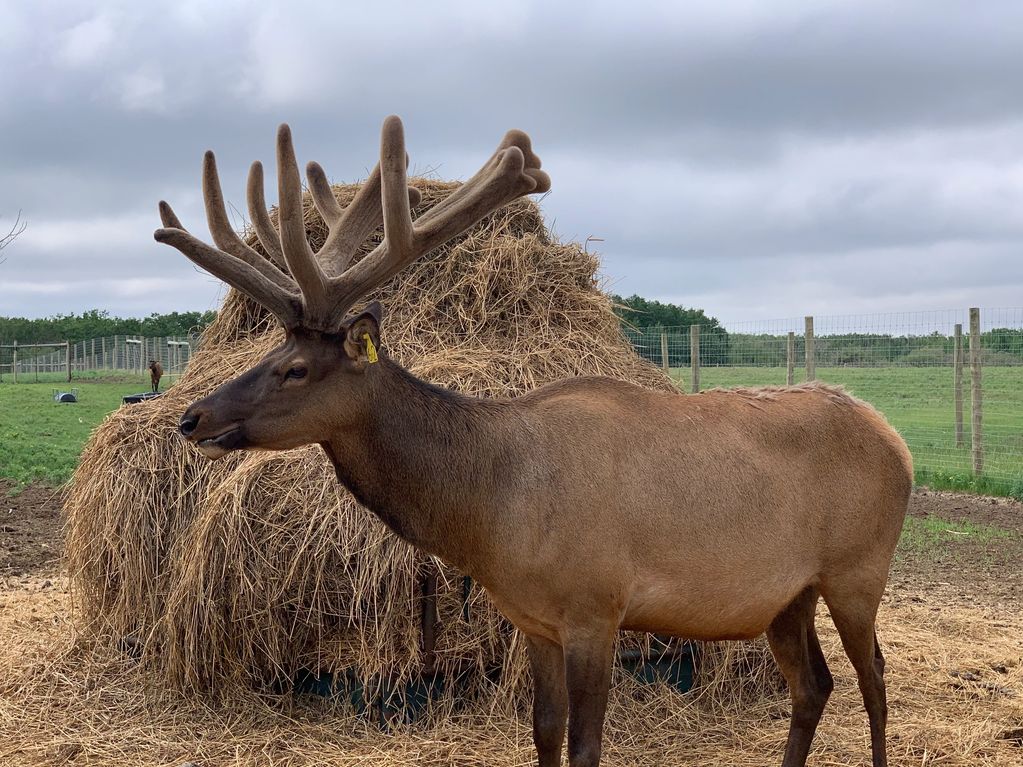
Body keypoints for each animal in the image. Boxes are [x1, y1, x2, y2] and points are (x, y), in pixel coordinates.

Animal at [157, 115, 912, 767]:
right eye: (271, 350)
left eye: (294, 368)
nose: (192, 418)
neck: (492, 510)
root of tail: (895, 438)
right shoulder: (533, 619)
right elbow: (544, 733)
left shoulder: (596, 607)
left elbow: (584, 746)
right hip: (787, 593)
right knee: (814, 684)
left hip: (858, 568)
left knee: (873, 677)